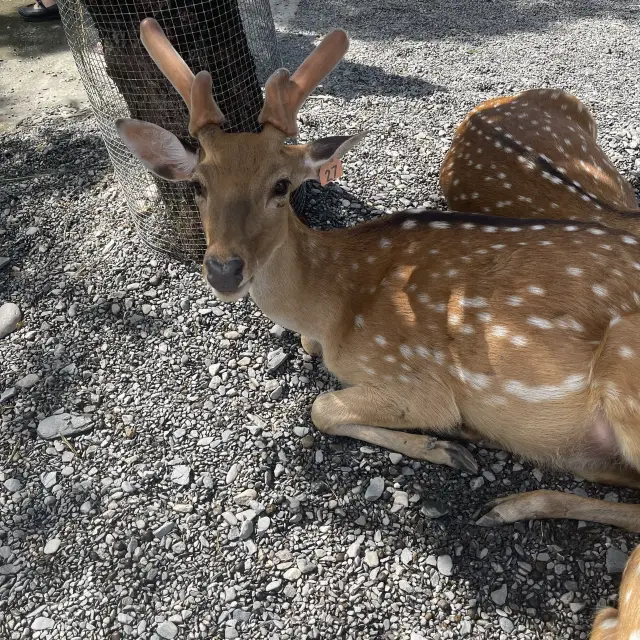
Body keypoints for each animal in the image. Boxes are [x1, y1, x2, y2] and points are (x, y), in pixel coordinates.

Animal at [114, 18, 640, 528]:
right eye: (198, 185)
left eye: (281, 185)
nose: (224, 270)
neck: (331, 309)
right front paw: (451, 443)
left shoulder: (414, 380)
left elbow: (321, 407)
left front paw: (444, 444)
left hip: (627, 369)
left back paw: (505, 501)